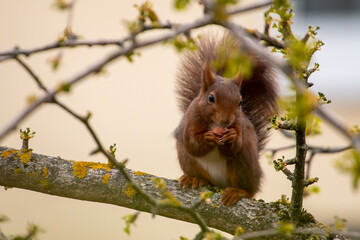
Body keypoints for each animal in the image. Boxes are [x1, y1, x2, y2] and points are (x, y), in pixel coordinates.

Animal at [174, 32, 278, 206]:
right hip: (187, 160)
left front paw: (232, 137)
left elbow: (235, 146)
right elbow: (192, 144)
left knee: (250, 190)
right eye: (211, 98)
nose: (226, 121)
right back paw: (195, 179)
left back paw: (237, 192)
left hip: (244, 164)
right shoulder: (190, 120)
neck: (214, 123)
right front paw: (207, 137)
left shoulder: (240, 125)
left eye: (240, 102)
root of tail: (221, 184)